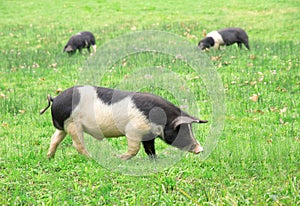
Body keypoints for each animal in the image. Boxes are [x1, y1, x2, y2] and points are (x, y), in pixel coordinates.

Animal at [40, 85, 209, 159]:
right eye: (180, 130)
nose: (200, 149)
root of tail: (55, 99)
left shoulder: (148, 135)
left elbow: (150, 149)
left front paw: (155, 160)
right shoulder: (133, 131)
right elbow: (135, 149)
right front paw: (120, 157)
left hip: (63, 126)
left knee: (54, 139)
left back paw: (49, 157)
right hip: (73, 125)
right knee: (78, 145)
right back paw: (93, 158)